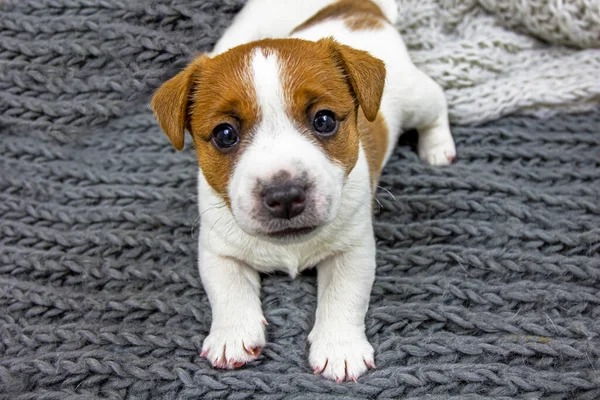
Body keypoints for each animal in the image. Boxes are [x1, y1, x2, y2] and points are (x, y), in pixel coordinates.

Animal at [152, 0, 458, 382]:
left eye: (324, 120)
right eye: (225, 134)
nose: (284, 196)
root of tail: (358, 8)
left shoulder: (352, 250)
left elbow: (344, 296)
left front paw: (340, 347)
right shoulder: (217, 249)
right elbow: (227, 289)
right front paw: (232, 334)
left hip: (417, 98)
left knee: (438, 101)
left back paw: (437, 147)